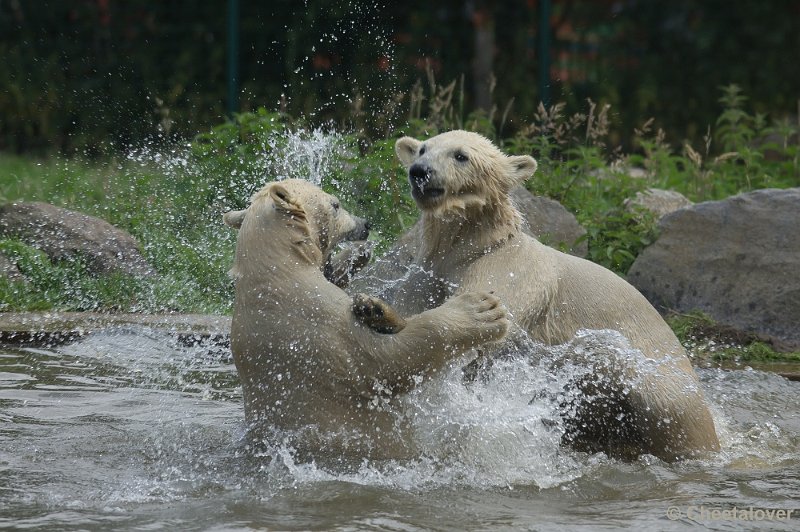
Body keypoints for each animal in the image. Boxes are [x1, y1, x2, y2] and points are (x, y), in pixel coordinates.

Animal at [220, 179, 506, 462]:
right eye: (335, 204)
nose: (365, 225)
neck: (277, 272)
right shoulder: (319, 326)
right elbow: (389, 360)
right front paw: (481, 310)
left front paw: (372, 306)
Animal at [356, 130, 720, 462]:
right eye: (422, 149)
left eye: (460, 155)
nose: (419, 171)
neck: (473, 245)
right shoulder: (428, 272)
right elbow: (412, 301)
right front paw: (374, 308)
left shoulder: (511, 268)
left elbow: (492, 327)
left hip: (662, 381)